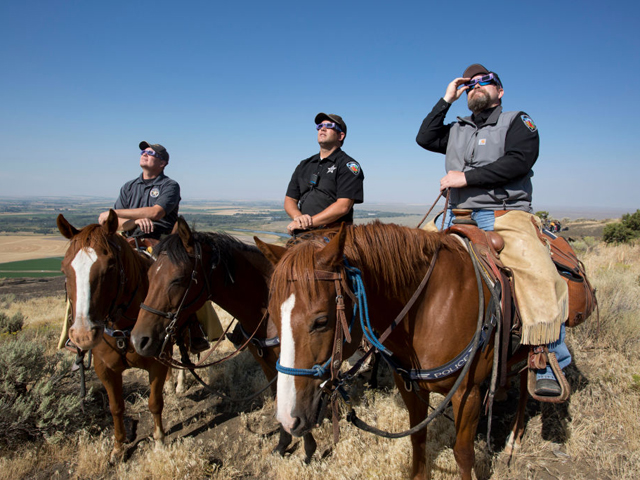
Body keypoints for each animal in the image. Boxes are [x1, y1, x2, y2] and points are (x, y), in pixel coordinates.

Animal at [57, 212, 168, 464]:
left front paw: (159, 442)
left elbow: (155, 402)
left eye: (110, 266)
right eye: (64, 268)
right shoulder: (105, 369)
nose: (83, 334)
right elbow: (116, 407)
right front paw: (118, 448)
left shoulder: (157, 363)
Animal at [131, 218, 320, 462]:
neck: (267, 307)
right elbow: (278, 398)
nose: (139, 340)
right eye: (149, 275)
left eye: (178, 280)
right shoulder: (266, 362)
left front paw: (308, 449)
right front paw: (282, 445)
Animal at [255, 222, 524, 480]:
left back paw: (513, 443)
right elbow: (418, 440)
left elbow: (463, 454)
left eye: (321, 321)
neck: (433, 305)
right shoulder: (412, 388)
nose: (287, 419)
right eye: (273, 315)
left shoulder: (468, 395)